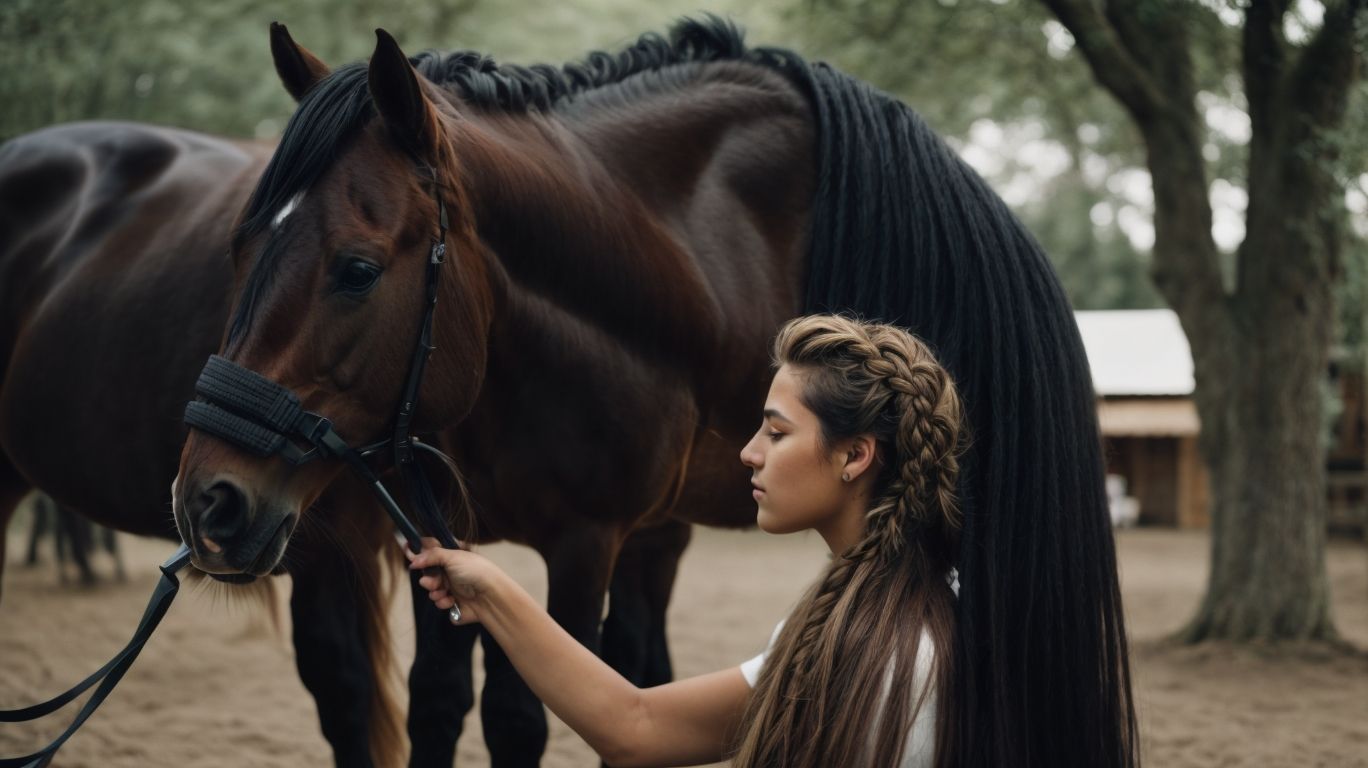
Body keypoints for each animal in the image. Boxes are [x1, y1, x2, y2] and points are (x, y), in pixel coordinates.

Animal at [174, 17, 1136, 768]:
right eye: (239, 248)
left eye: (358, 270)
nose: (208, 504)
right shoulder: (441, 534)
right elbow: (443, 703)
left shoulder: (583, 542)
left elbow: (526, 712)